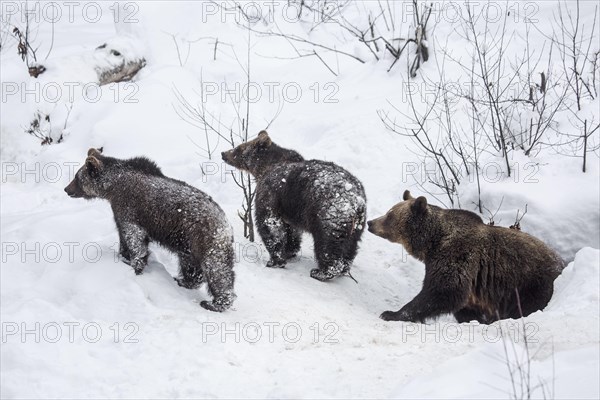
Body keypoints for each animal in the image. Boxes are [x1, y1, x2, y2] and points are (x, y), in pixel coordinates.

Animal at [368, 189, 564, 324]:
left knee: (528, 305)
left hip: (530, 282)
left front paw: (391, 313)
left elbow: (443, 291)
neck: (433, 242)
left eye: (389, 214)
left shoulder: (457, 255)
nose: (370, 222)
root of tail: (561, 262)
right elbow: (463, 302)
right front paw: (476, 319)